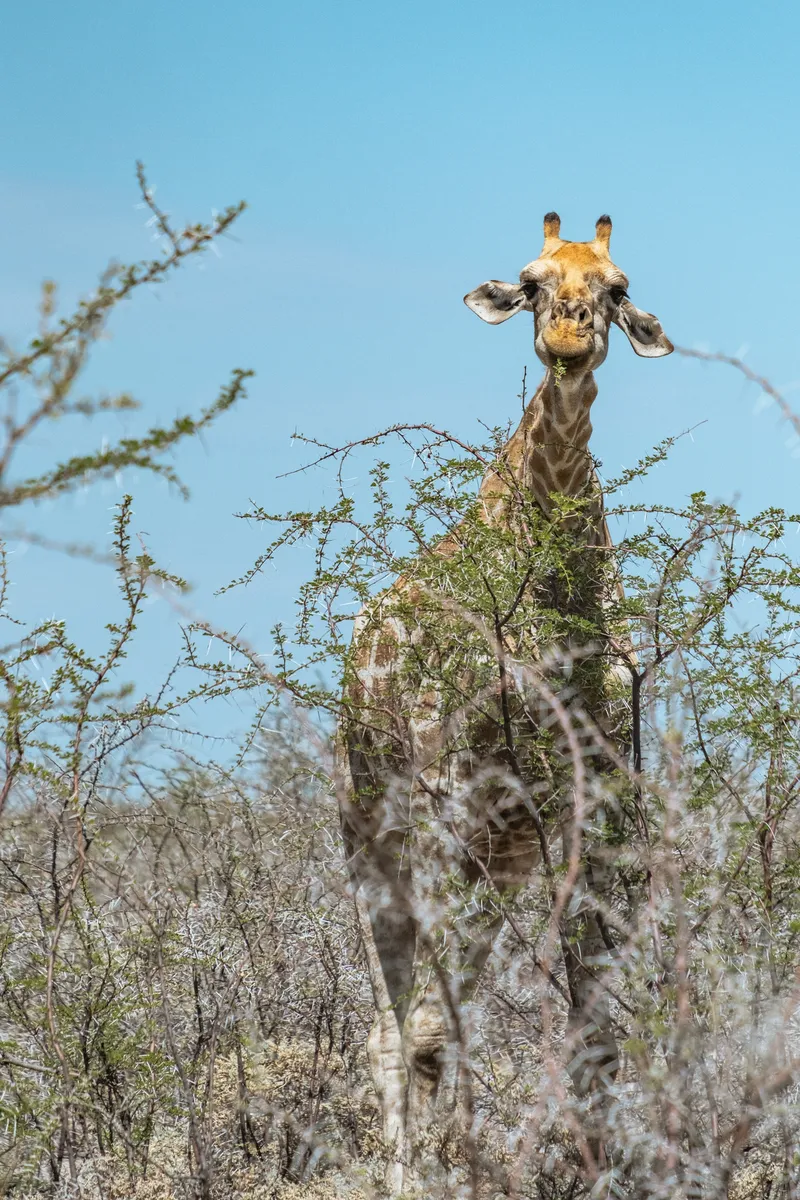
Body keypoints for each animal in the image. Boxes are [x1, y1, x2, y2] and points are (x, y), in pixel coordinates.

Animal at [340, 216, 676, 1190]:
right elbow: (428, 1030)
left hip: (495, 861)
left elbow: (597, 1030)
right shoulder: (451, 802)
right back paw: (407, 1174)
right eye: (529, 281)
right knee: (397, 1026)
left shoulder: (596, 804)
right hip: (377, 838)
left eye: (616, 287)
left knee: (436, 1014)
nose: (565, 338)